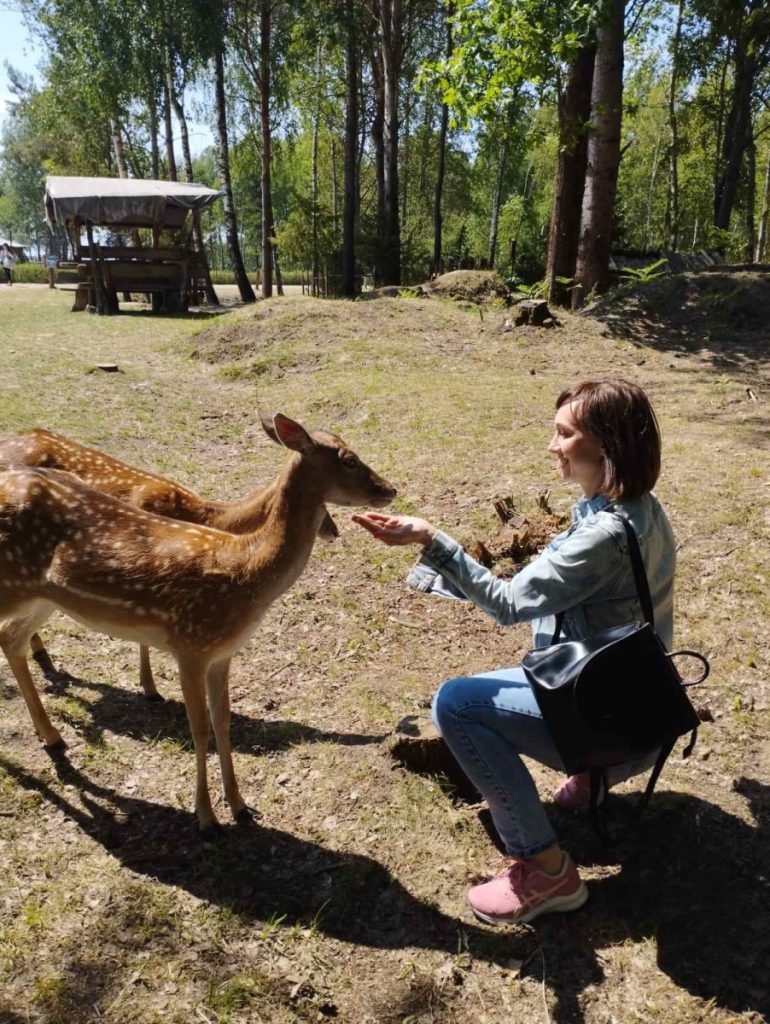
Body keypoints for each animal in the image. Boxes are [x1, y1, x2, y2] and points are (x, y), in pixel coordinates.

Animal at [0, 423, 337, 696]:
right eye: (325, 510)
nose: (333, 531)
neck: (202, 515)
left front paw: (149, 686)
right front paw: (150, 688)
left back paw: (41, 652)